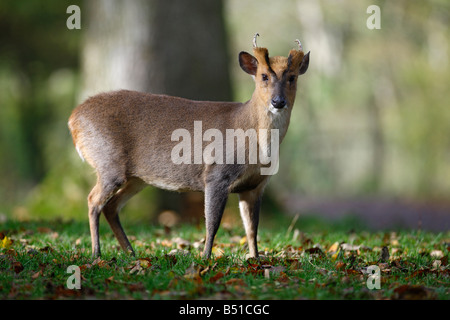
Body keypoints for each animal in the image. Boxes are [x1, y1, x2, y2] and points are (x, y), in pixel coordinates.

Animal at [68, 35, 310, 258]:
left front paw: (255, 259)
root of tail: (73, 119)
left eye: (292, 77)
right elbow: (212, 223)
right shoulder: (216, 174)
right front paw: (206, 258)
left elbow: (252, 229)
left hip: (136, 178)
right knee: (93, 200)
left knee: (111, 206)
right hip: (108, 162)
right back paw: (97, 253)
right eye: (263, 76)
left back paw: (130, 252)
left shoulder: (255, 185)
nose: (278, 101)